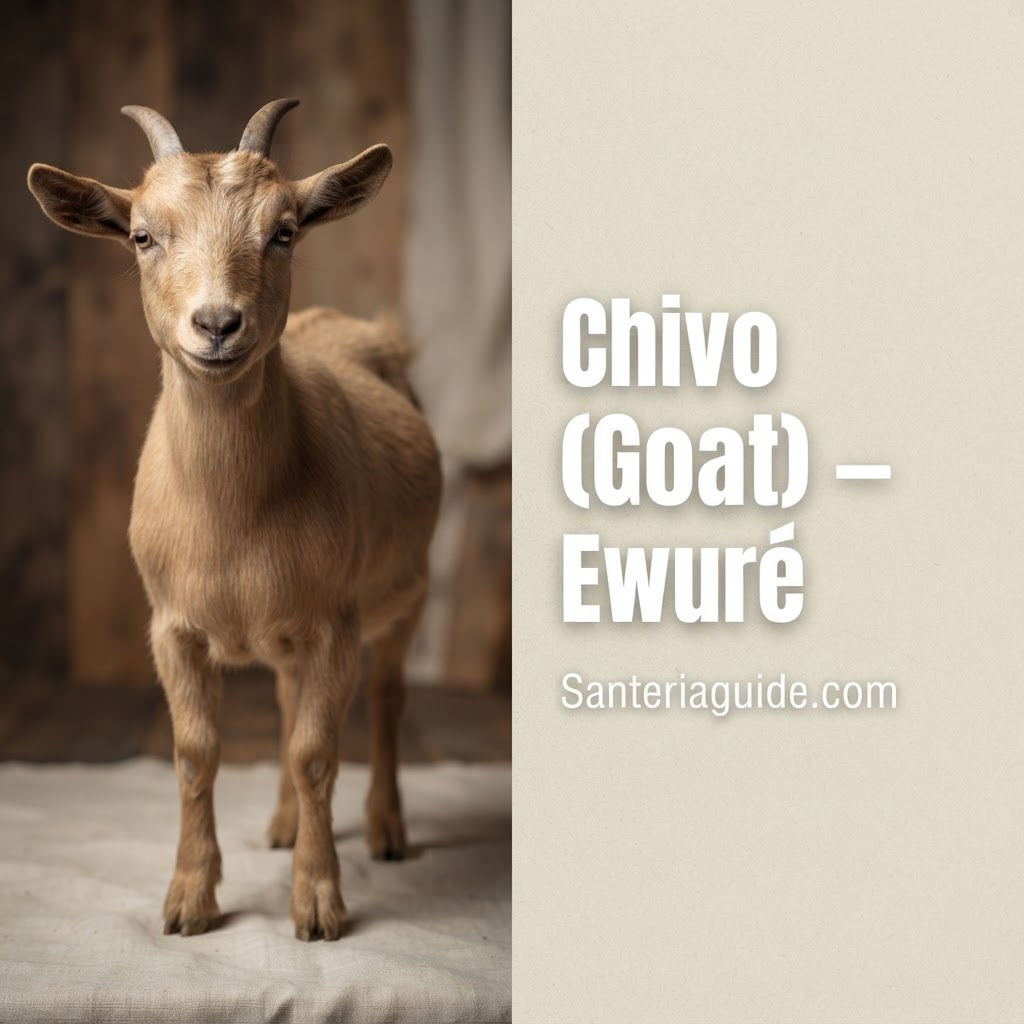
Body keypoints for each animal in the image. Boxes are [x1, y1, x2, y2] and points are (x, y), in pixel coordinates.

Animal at [27, 99, 442, 941]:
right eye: (142, 235)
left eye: (284, 230)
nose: (218, 324)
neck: (234, 517)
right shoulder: (173, 626)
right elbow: (197, 752)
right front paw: (190, 898)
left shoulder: (333, 623)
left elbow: (319, 752)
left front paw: (317, 903)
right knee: (286, 703)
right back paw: (282, 825)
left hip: (405, 596)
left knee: (386, 702)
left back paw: (386, 830)